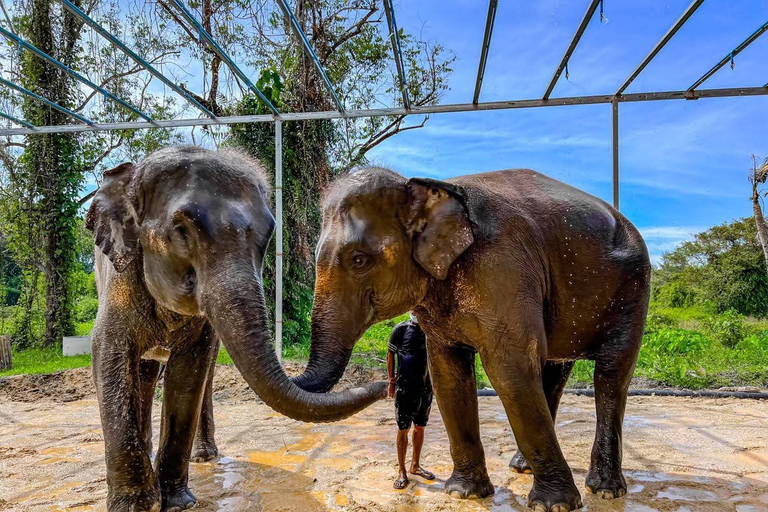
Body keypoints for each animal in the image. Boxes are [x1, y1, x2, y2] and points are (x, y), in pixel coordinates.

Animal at [85, 145, 384, 512]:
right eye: (181, 230)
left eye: (268, 235)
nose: (388, 384)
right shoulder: (119, 280)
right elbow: (108, 356)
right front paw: (139, 507)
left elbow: (190, 371)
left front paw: (178, 503)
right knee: (143, 371)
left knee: (188, 372)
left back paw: (203, 457)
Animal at [292, 166, 652, 510]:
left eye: (359, 260)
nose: (387, 387)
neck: (428, 187)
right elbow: (448, 375)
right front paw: (464, 493)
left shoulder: (504, 268)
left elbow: (510, 371)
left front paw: (555, 505)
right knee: (554, 370)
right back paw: (521, 467)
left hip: (633, 290)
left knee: (611, 375)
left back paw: (605, 490)